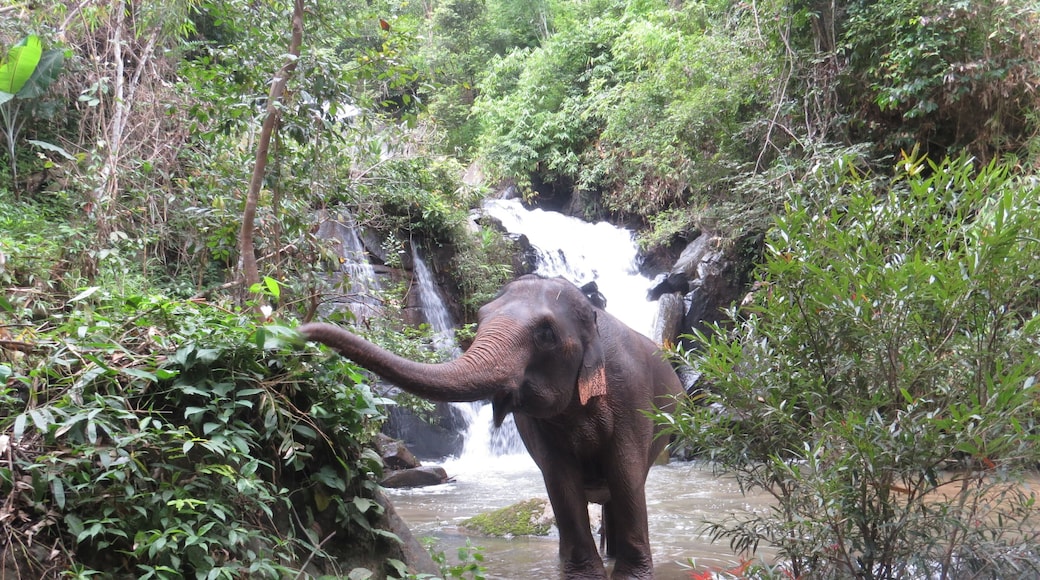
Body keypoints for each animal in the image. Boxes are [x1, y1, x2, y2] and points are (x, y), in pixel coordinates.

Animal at [298, 274, 684, 579]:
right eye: (481, 318)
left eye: (546, 333)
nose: (301, 331)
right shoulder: (534, 425)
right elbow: (560, 480)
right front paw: (582, 577)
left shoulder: (633, 396)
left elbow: (625, 471)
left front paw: (632, 578)